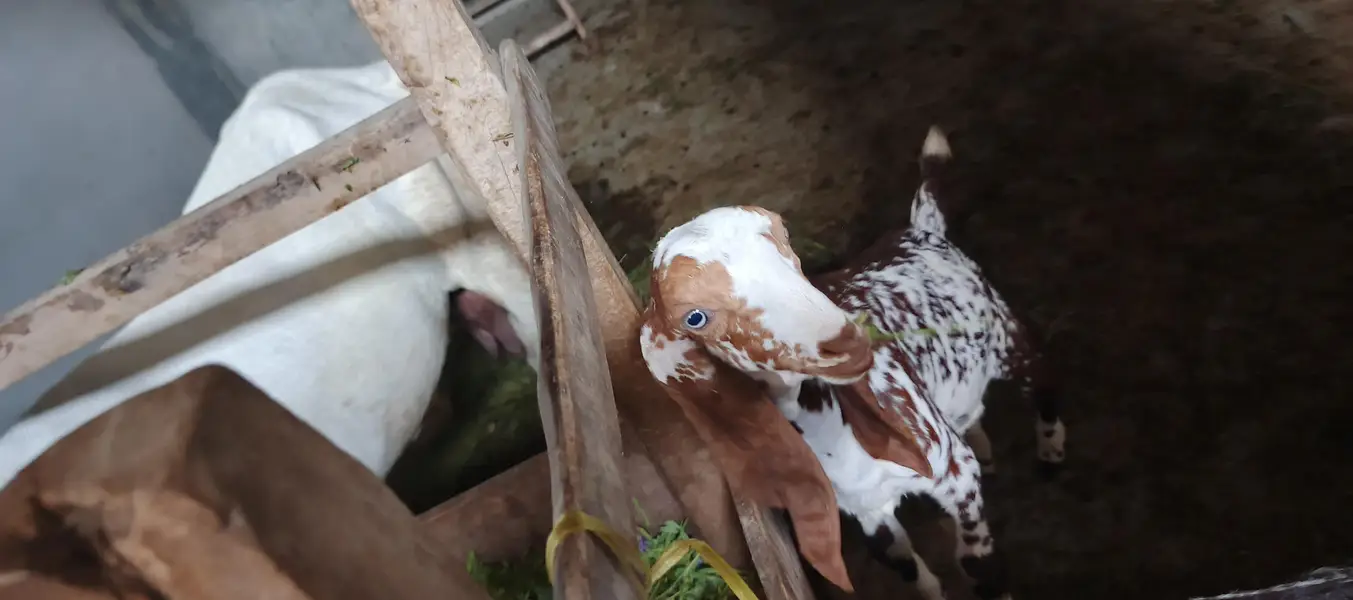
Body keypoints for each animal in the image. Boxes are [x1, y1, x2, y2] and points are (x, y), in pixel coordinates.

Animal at [638, 127, 1062, 599]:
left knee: (1043, 378)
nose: (847, 339)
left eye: (785, 235)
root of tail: (920, 229)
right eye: (695, 317)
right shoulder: (866, 509)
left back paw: (1050, 451)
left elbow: (978, 563)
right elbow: (903, 565)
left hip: (1004, 333)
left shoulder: (954, 471)